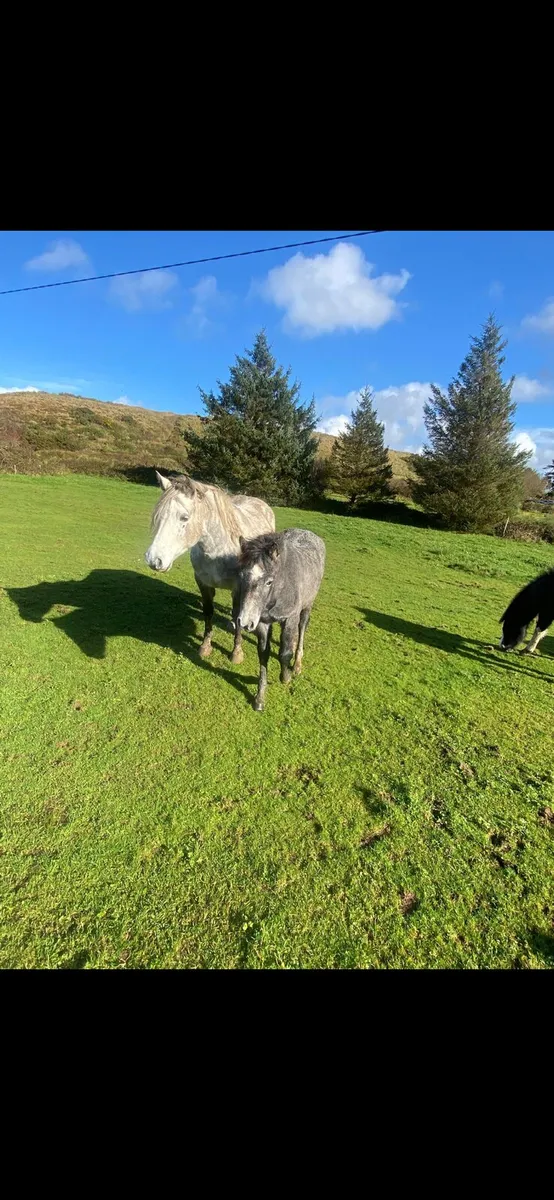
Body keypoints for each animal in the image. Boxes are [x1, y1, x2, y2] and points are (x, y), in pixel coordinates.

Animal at [145, 472, 275, 663]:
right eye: (159, 515)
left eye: (184, 517)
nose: (154, 560)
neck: (217, 550)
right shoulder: (202, 582)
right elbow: (208, 612)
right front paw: (205, 647)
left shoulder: (240, 585)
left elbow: (238, 613)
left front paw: (236, 652)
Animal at [236, 528, 325, 711]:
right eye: (240, 575)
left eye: (269, 582)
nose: (244, 622)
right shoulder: (262, 623)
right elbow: (263, 654)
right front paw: (260, 698)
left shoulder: (290, 618)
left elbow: (284, 654)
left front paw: (286, 677)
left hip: (307, 606)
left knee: (302, 627)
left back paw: (297, 664)